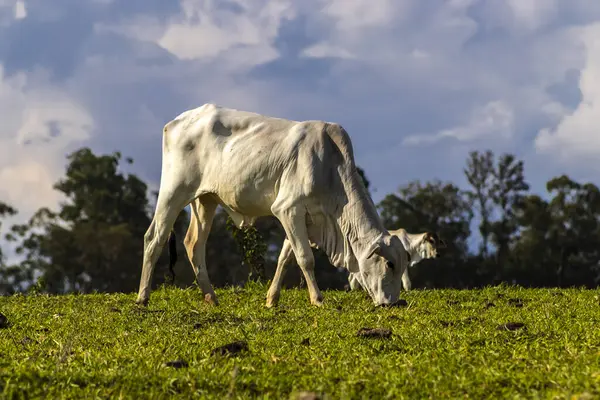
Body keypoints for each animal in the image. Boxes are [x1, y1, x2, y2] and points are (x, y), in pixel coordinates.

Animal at [136, 103, 408, 306]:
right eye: (390, 264)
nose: (393, 303)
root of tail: (176, 122)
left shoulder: (300, 217)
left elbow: (286, 258)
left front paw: (271, 299)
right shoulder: (288, 208)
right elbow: (305, 258)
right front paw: (318, 299)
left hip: (206, 200)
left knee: (194, 244)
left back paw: (211, 297)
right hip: (174, 192)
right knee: (154, 237)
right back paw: (143, 297)